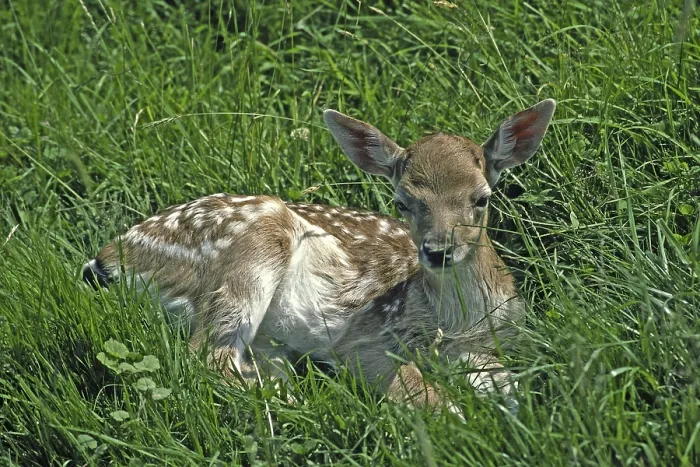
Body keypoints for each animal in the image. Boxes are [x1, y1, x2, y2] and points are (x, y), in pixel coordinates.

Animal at [82, 99, 556, 414]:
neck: (460, 324)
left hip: (267, 336)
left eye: (482, 198)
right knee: (207, 356)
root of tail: (107, 257)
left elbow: (513, 386)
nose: (438, 251)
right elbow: (422, 392)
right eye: (402, 202)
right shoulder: (369, 339)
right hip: (254, 241)